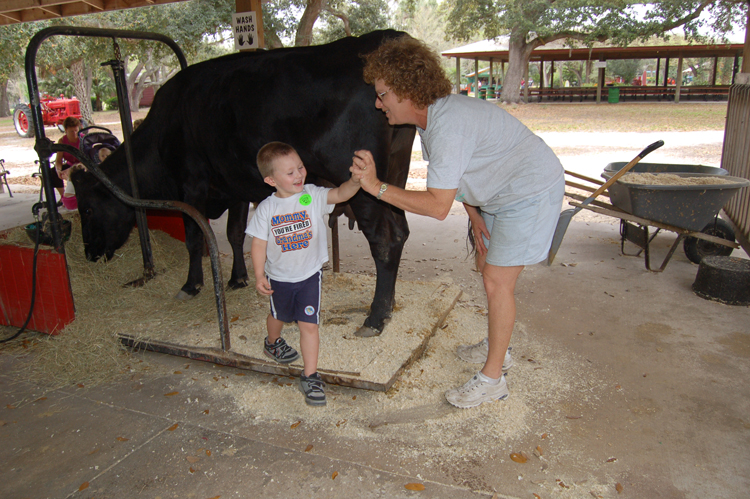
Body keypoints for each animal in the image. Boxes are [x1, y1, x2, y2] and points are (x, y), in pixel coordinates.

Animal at [72, 30, 418, 336]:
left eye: (86, 210)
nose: (89, 254)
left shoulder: (190, 183)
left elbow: (194, 238)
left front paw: (190, 285)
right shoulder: (233, 183)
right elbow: (235, 233)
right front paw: (238, 278)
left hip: (362, 185)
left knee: (385, 240)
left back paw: (375, 317)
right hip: (394, 172)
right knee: (400, 231)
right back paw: (388, 305)